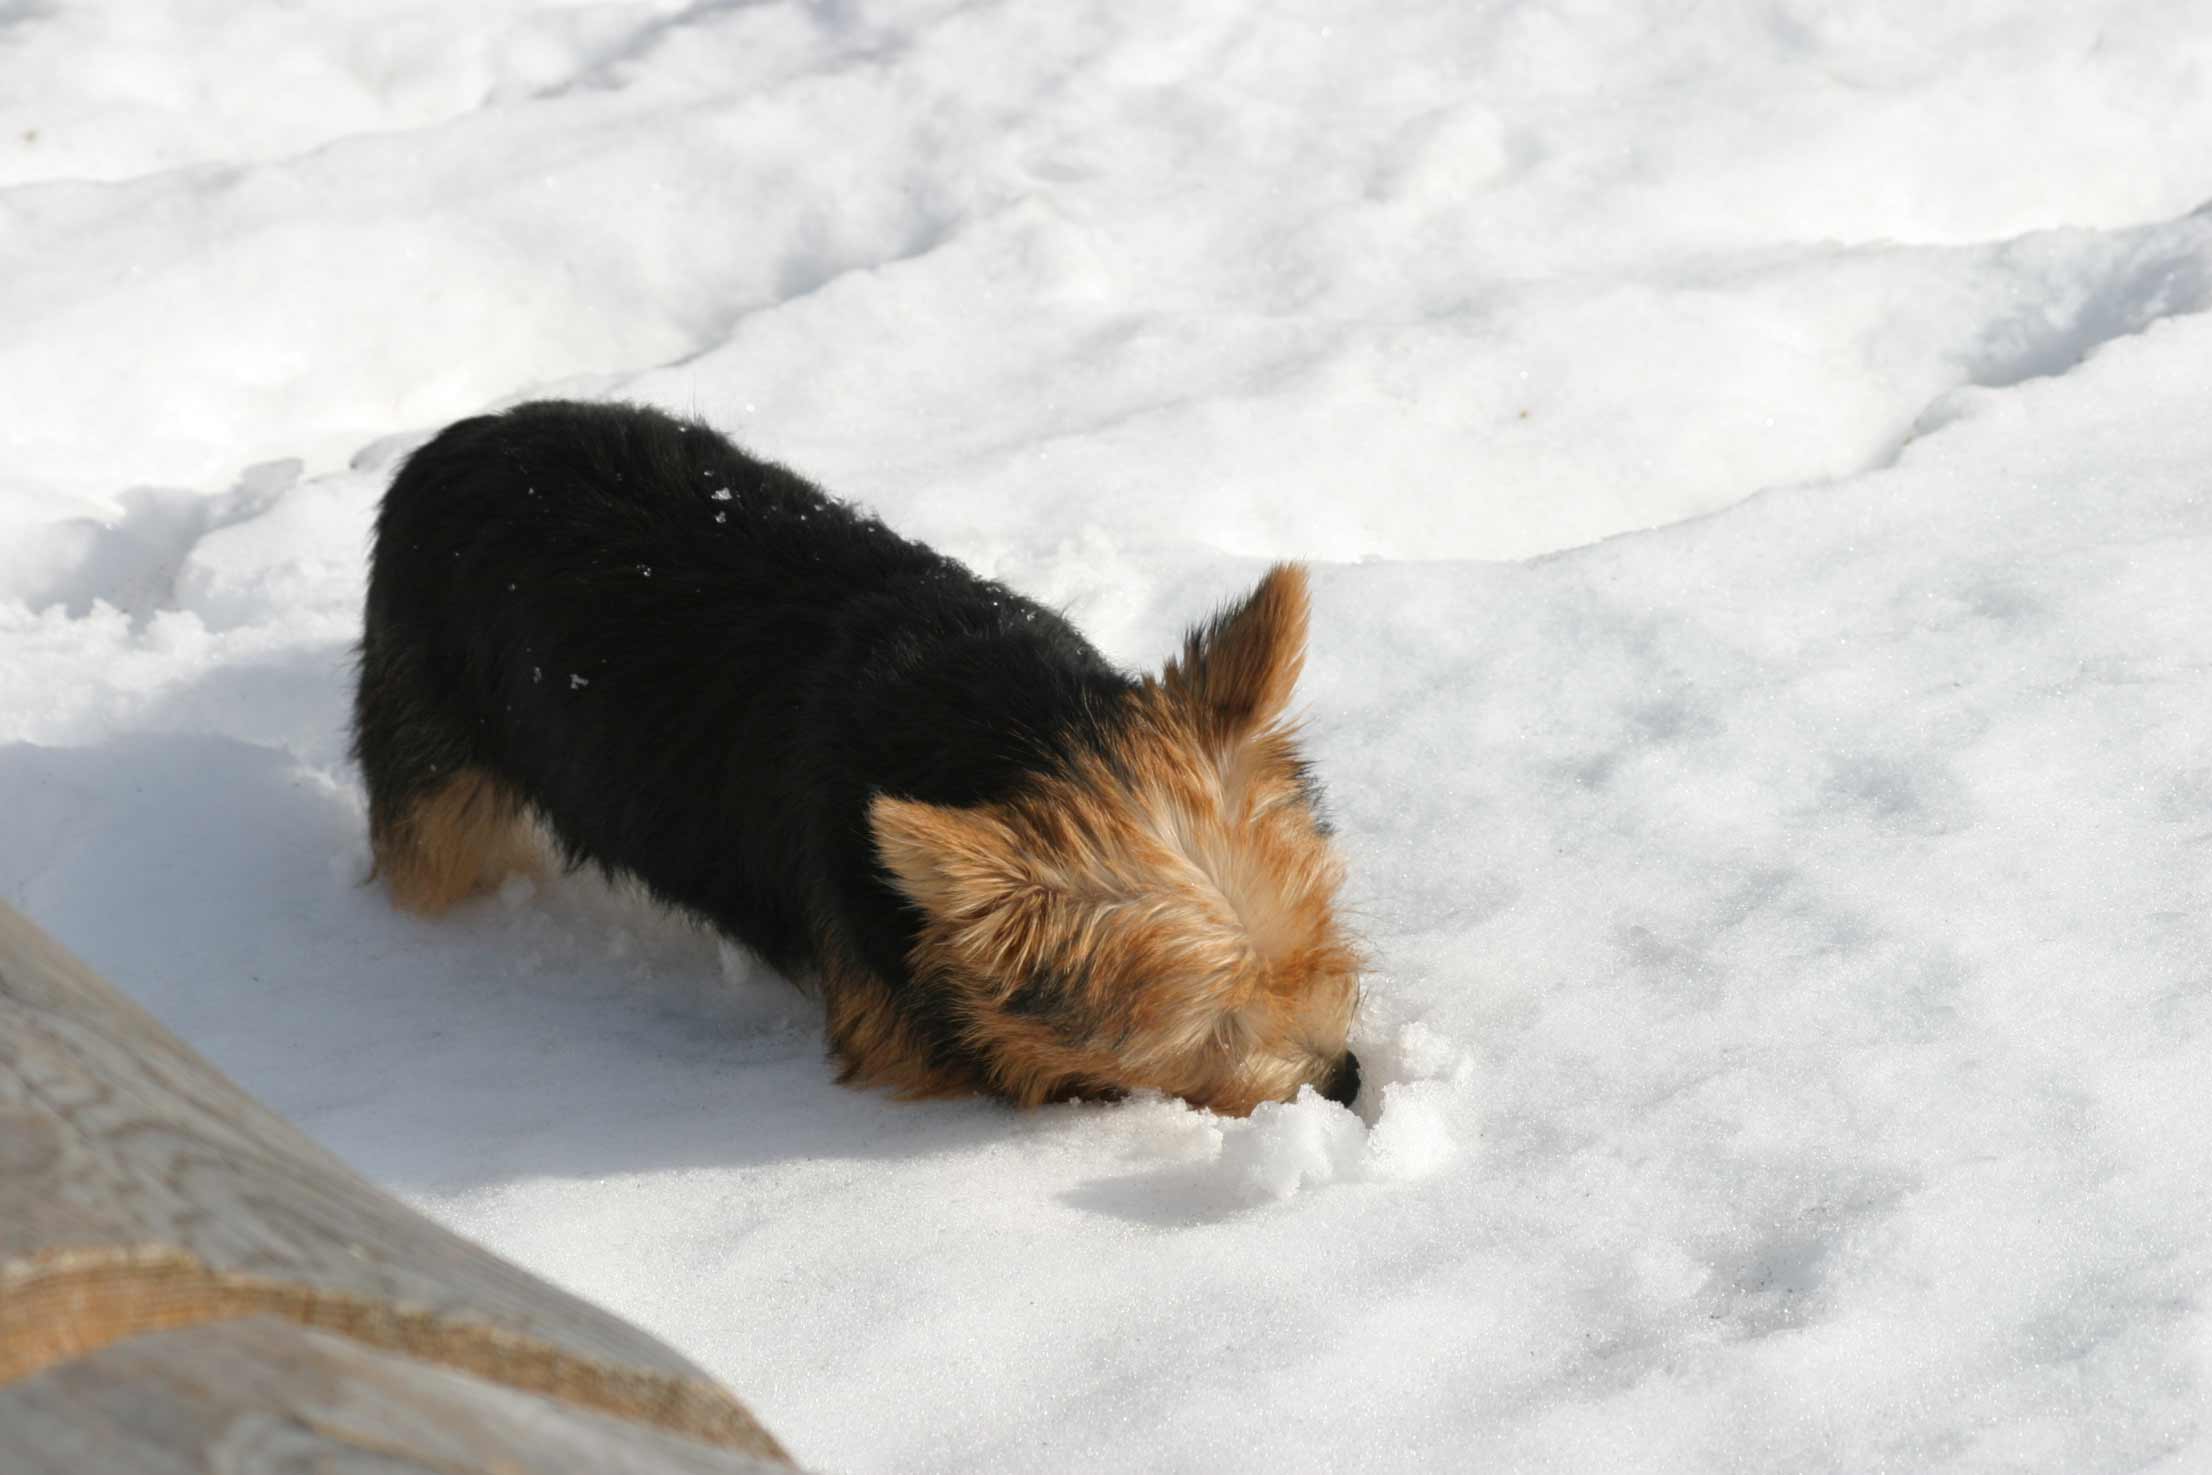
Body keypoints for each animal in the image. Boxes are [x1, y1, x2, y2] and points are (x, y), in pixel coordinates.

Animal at [353, 398, 1353, 1114]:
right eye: (1210, 1028)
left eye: (1318, 950)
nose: (1343, 1080)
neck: (1009, 733)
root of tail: (451, 443)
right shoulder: (894, 1029)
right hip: (430, 762)